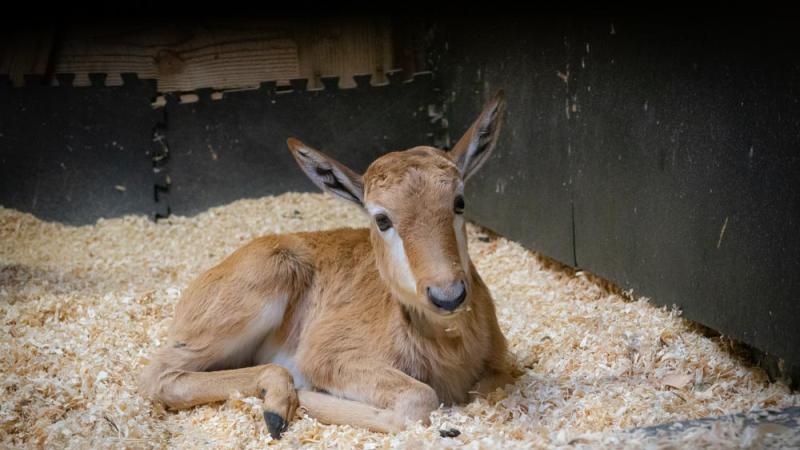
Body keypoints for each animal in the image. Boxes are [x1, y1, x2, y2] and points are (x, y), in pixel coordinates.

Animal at [139, 89, 512, 438]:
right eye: (381, 219)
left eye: (459, 201)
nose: (448, 296)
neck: (448, 343)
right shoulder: (327, 355)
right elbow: (419, 398)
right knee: (161, 374)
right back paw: (277, 406)